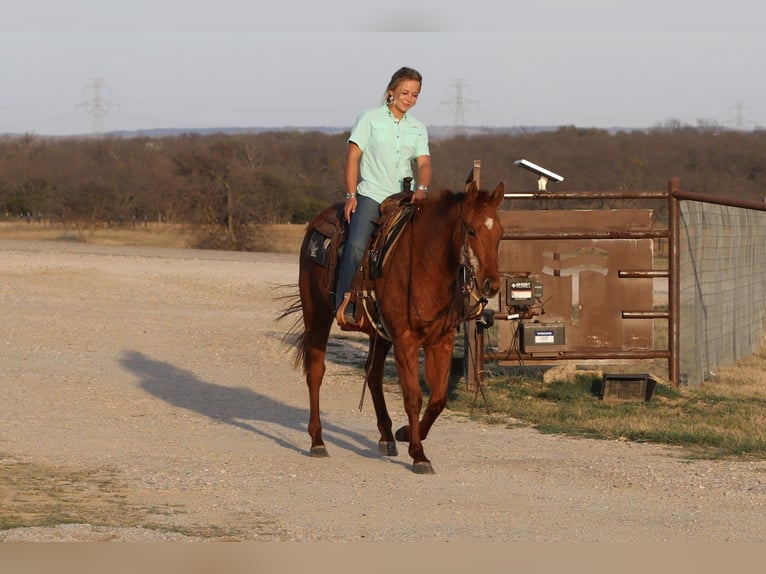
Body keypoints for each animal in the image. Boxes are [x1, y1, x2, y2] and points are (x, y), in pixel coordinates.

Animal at [279, 181, 505, 474]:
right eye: (472, 230)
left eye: (500, 233)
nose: (492, 284)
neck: (425, 265)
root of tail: (316, 223)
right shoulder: (405, 340)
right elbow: (413, 396)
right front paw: (419, 455)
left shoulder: (439, 340)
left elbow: (438, 398)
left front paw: (406, 433)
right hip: (316, 314)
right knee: (316, 372)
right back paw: (317, 441)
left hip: (379, 334)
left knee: (373, 374)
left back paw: (387, 437)